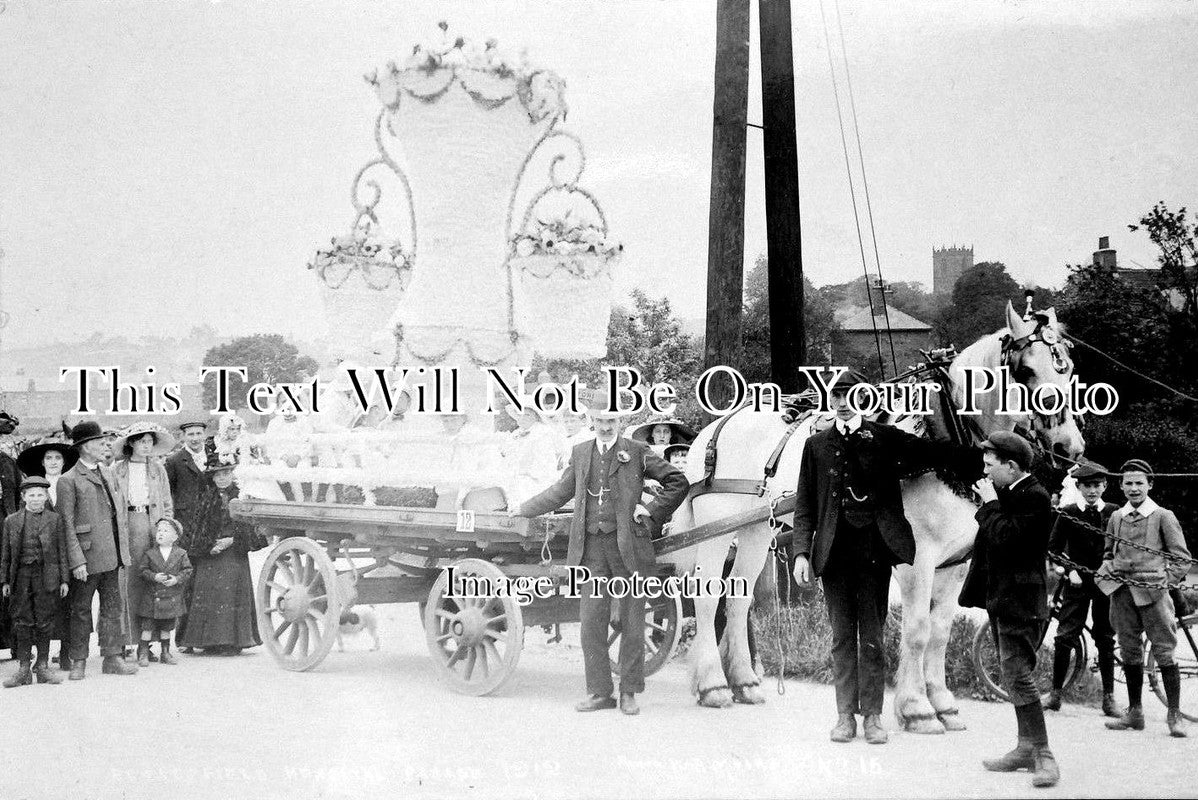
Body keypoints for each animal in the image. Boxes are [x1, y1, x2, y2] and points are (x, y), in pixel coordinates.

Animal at [666, 301, 1087, 732]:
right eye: (1026, 370)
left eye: (1068, 367)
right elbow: (917, 630)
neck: (942, 435)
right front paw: (917, 708)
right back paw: (713, 685)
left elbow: (940, 632)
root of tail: (715, 428)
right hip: (717, 530)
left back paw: (744, 681)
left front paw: (943, 703)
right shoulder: (918, 558)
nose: (1069, 448)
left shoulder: (955, 564)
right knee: (707, 597)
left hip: (753, 531)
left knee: (739, 598)